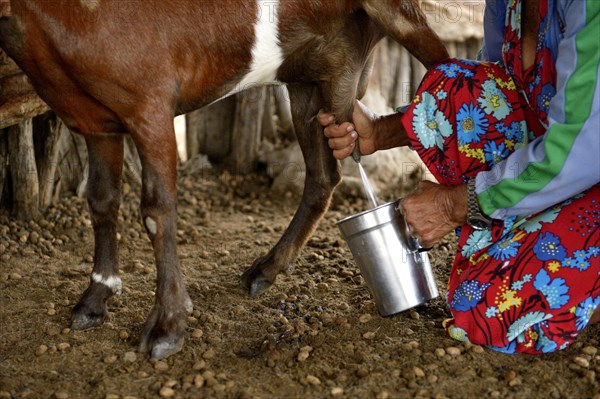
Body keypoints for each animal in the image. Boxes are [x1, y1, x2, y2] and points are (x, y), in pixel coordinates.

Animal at [0, 0, 446, 358]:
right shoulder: (96, 120)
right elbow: (101, 199)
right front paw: (95, 299)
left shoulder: (151, 104)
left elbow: (156, 209)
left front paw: (167, 326)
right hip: (314, 69)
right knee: (323, 175)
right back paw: (265, 269)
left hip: (396, 16)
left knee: (445, 69)